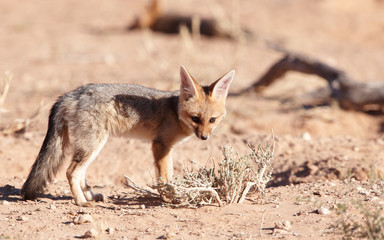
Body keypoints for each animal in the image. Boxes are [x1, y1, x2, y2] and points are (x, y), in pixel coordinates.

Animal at [22, 65, 236, 206]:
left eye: (212, 120)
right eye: (195, 118)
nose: (204, 137)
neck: (174, 110)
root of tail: (71, 93)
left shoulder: (167, 147)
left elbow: (169, 175)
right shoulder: (160, 145)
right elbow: (165, 177)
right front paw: (170, 197)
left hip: (91, 147)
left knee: (79, 172)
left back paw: (90, 196)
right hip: (94, 145)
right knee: (71, 171)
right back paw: (82, 202)